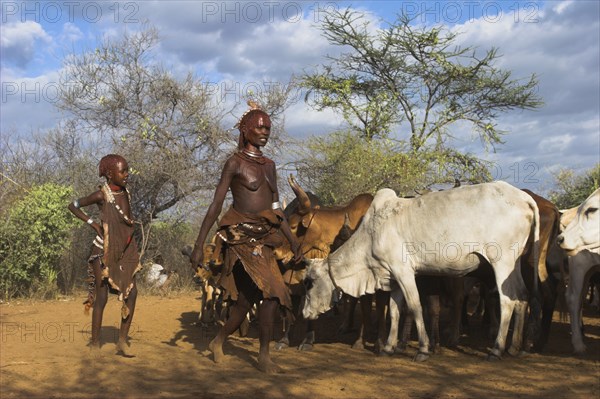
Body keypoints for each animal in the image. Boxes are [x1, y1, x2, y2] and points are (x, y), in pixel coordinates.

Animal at [302, 184, 540, 362]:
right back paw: (514, 347)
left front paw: (423, 349)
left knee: (507, 299)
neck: (372, 234)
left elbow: (415, 307)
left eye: (310, 282)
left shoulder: (404, 271)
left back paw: (497, 349)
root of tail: (523, 197)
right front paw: (389, 347)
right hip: (514, 263)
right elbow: (395, 310)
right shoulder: (393, 277)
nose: (304, 313)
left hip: (502, 262)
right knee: (522, 295)